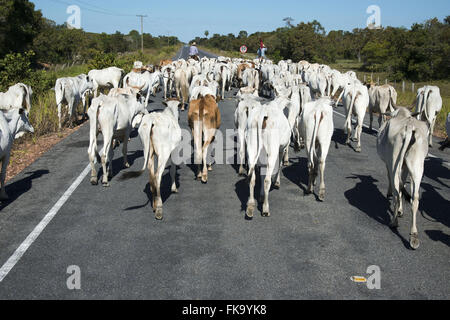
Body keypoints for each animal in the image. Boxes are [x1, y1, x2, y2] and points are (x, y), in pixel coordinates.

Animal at [376, 108, 428, 250]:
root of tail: (409, 126)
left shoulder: (388, 163)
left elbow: (395, 185)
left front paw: (397, 209)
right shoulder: (404, 166)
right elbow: (403, 185)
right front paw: (400, 210)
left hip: (394, 160)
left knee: (396, 190)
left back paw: (394, 221)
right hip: (417, 164)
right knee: (415, 198)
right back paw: (414, 236)